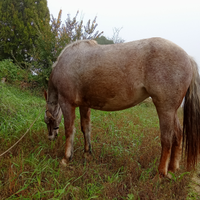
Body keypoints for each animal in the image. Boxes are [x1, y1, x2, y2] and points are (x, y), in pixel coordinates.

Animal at [43, 37, 200, 178]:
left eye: (47, 121)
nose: (50, 137)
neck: (66, 61)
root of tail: (188, 58)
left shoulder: (67, 103)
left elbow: (69, 130)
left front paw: (66, 159)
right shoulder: (84, 105)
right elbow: (85, 128)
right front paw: (87, 153)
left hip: (165, 109)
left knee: (167, 139)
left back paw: (161, 174)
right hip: (172, 111)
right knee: (178, 134)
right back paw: (173, 169)